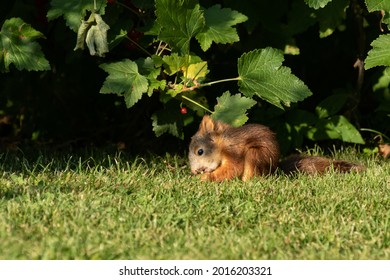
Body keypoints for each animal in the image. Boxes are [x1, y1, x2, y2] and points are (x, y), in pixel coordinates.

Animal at [189, 115, 366, 183]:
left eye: (200, 151)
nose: (194, 171)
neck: (222, 143)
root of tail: (274, 171)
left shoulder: (234, 151)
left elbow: (232, 168)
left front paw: (205, 178)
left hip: (255, 154)